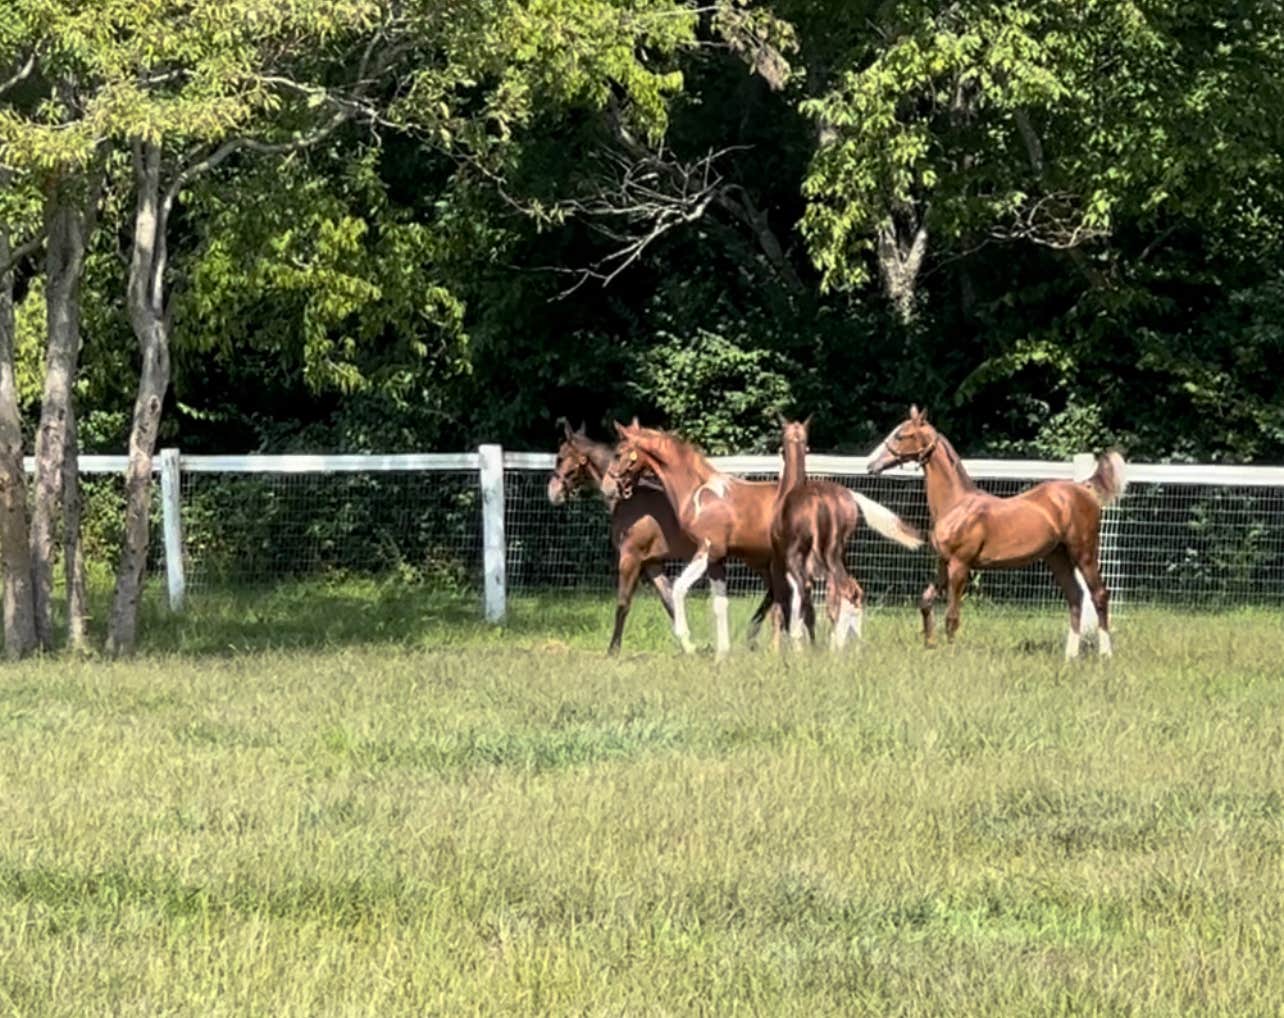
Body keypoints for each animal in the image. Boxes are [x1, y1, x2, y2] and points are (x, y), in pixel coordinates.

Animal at [547, 420, 774, 655]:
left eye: (560, 457)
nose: (552, 493)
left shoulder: (631, 558)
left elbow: (623, 603)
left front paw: (613, 650)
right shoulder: (652, 563)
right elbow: (669, 601)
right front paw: (690, 646)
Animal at [772, 416, 924, 651]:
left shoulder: (782, 563)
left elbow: (783, 607)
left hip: (821, 558)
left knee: (838, 593)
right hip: (838, 556)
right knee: (853, 593)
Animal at [867, 406, 1127, 658]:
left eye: (901, 435)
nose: (871, 465)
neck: (955, 505)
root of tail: (1084, 488)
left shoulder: (960, 565)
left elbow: (952, 617)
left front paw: (950, 655)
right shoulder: (943, 563)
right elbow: (925, 602)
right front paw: (930, 645)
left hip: (1084, 553)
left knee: (1099, 595)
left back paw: (1106, 654)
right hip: (1057, 556)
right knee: (1075, 597)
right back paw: (1070, 656)